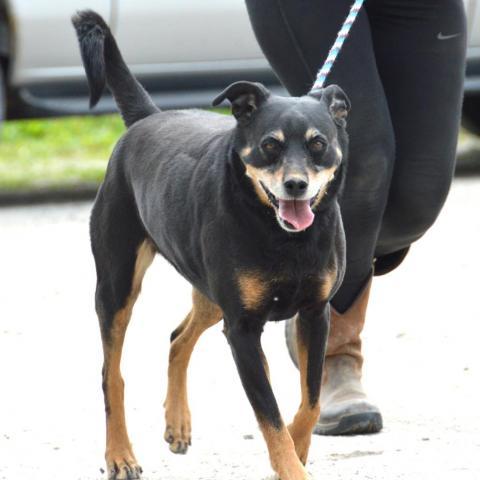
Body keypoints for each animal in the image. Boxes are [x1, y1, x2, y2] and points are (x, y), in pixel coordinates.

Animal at [72, 10, 348, 480]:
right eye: (270, 145)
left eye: (319, 144)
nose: (295, 185)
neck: (283, 237)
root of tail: (146, 118)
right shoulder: (242, 328)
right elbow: (270, 415)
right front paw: (290, 465)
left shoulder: (314, 314)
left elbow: (308, 401)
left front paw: (297, 450)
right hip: (117, 284)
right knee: (112, 373)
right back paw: (120, 454)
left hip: (209, 292)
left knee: (177, 337)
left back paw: (177, 423)